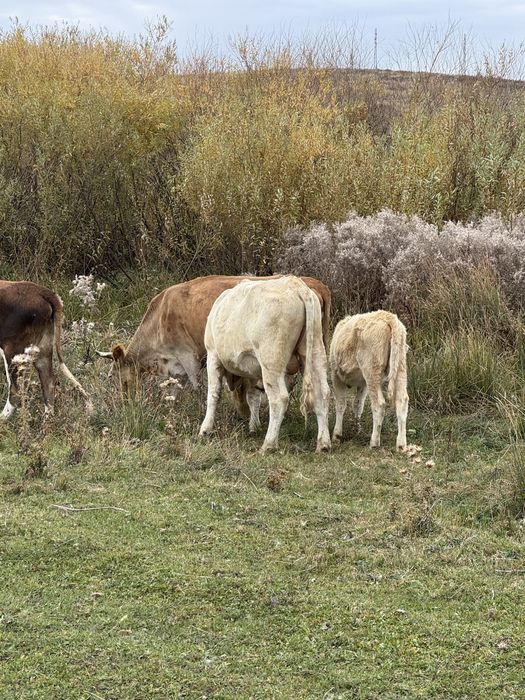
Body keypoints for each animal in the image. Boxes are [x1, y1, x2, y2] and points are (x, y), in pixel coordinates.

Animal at [0, 281, 91, 419]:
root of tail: (39, 289)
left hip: (14, 350)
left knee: (16, 389)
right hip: (43, 346)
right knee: (48, 381)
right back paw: (47, 420)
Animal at [96, 275, 331, 403]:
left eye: (114, 375)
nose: (125, 402)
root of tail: (314, 283)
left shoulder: (188, 355)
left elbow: (196, 386)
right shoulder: (176, 365)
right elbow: (174, 388)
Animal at [199, 276, 331, 453]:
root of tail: (296, 285)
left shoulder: (213, 355)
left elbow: (214, 393)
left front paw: (205, 429)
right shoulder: (252, 369)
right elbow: (253, 396)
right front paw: (254, 426)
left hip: (271, 361)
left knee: (279, 399)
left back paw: (268, 444)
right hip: (315, 352)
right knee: (322, 394)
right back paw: (323, 444)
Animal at [330, 310, 409, 450]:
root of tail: (388, 317)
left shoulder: (336, 376)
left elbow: (340, 404)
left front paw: (337, 435)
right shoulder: (363, 384)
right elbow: (358, 404)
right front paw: (357, 428)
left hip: (372, 371)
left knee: (379, 404)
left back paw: (374, 442)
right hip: (400, 367)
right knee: (402, 401)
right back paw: (401, 444)